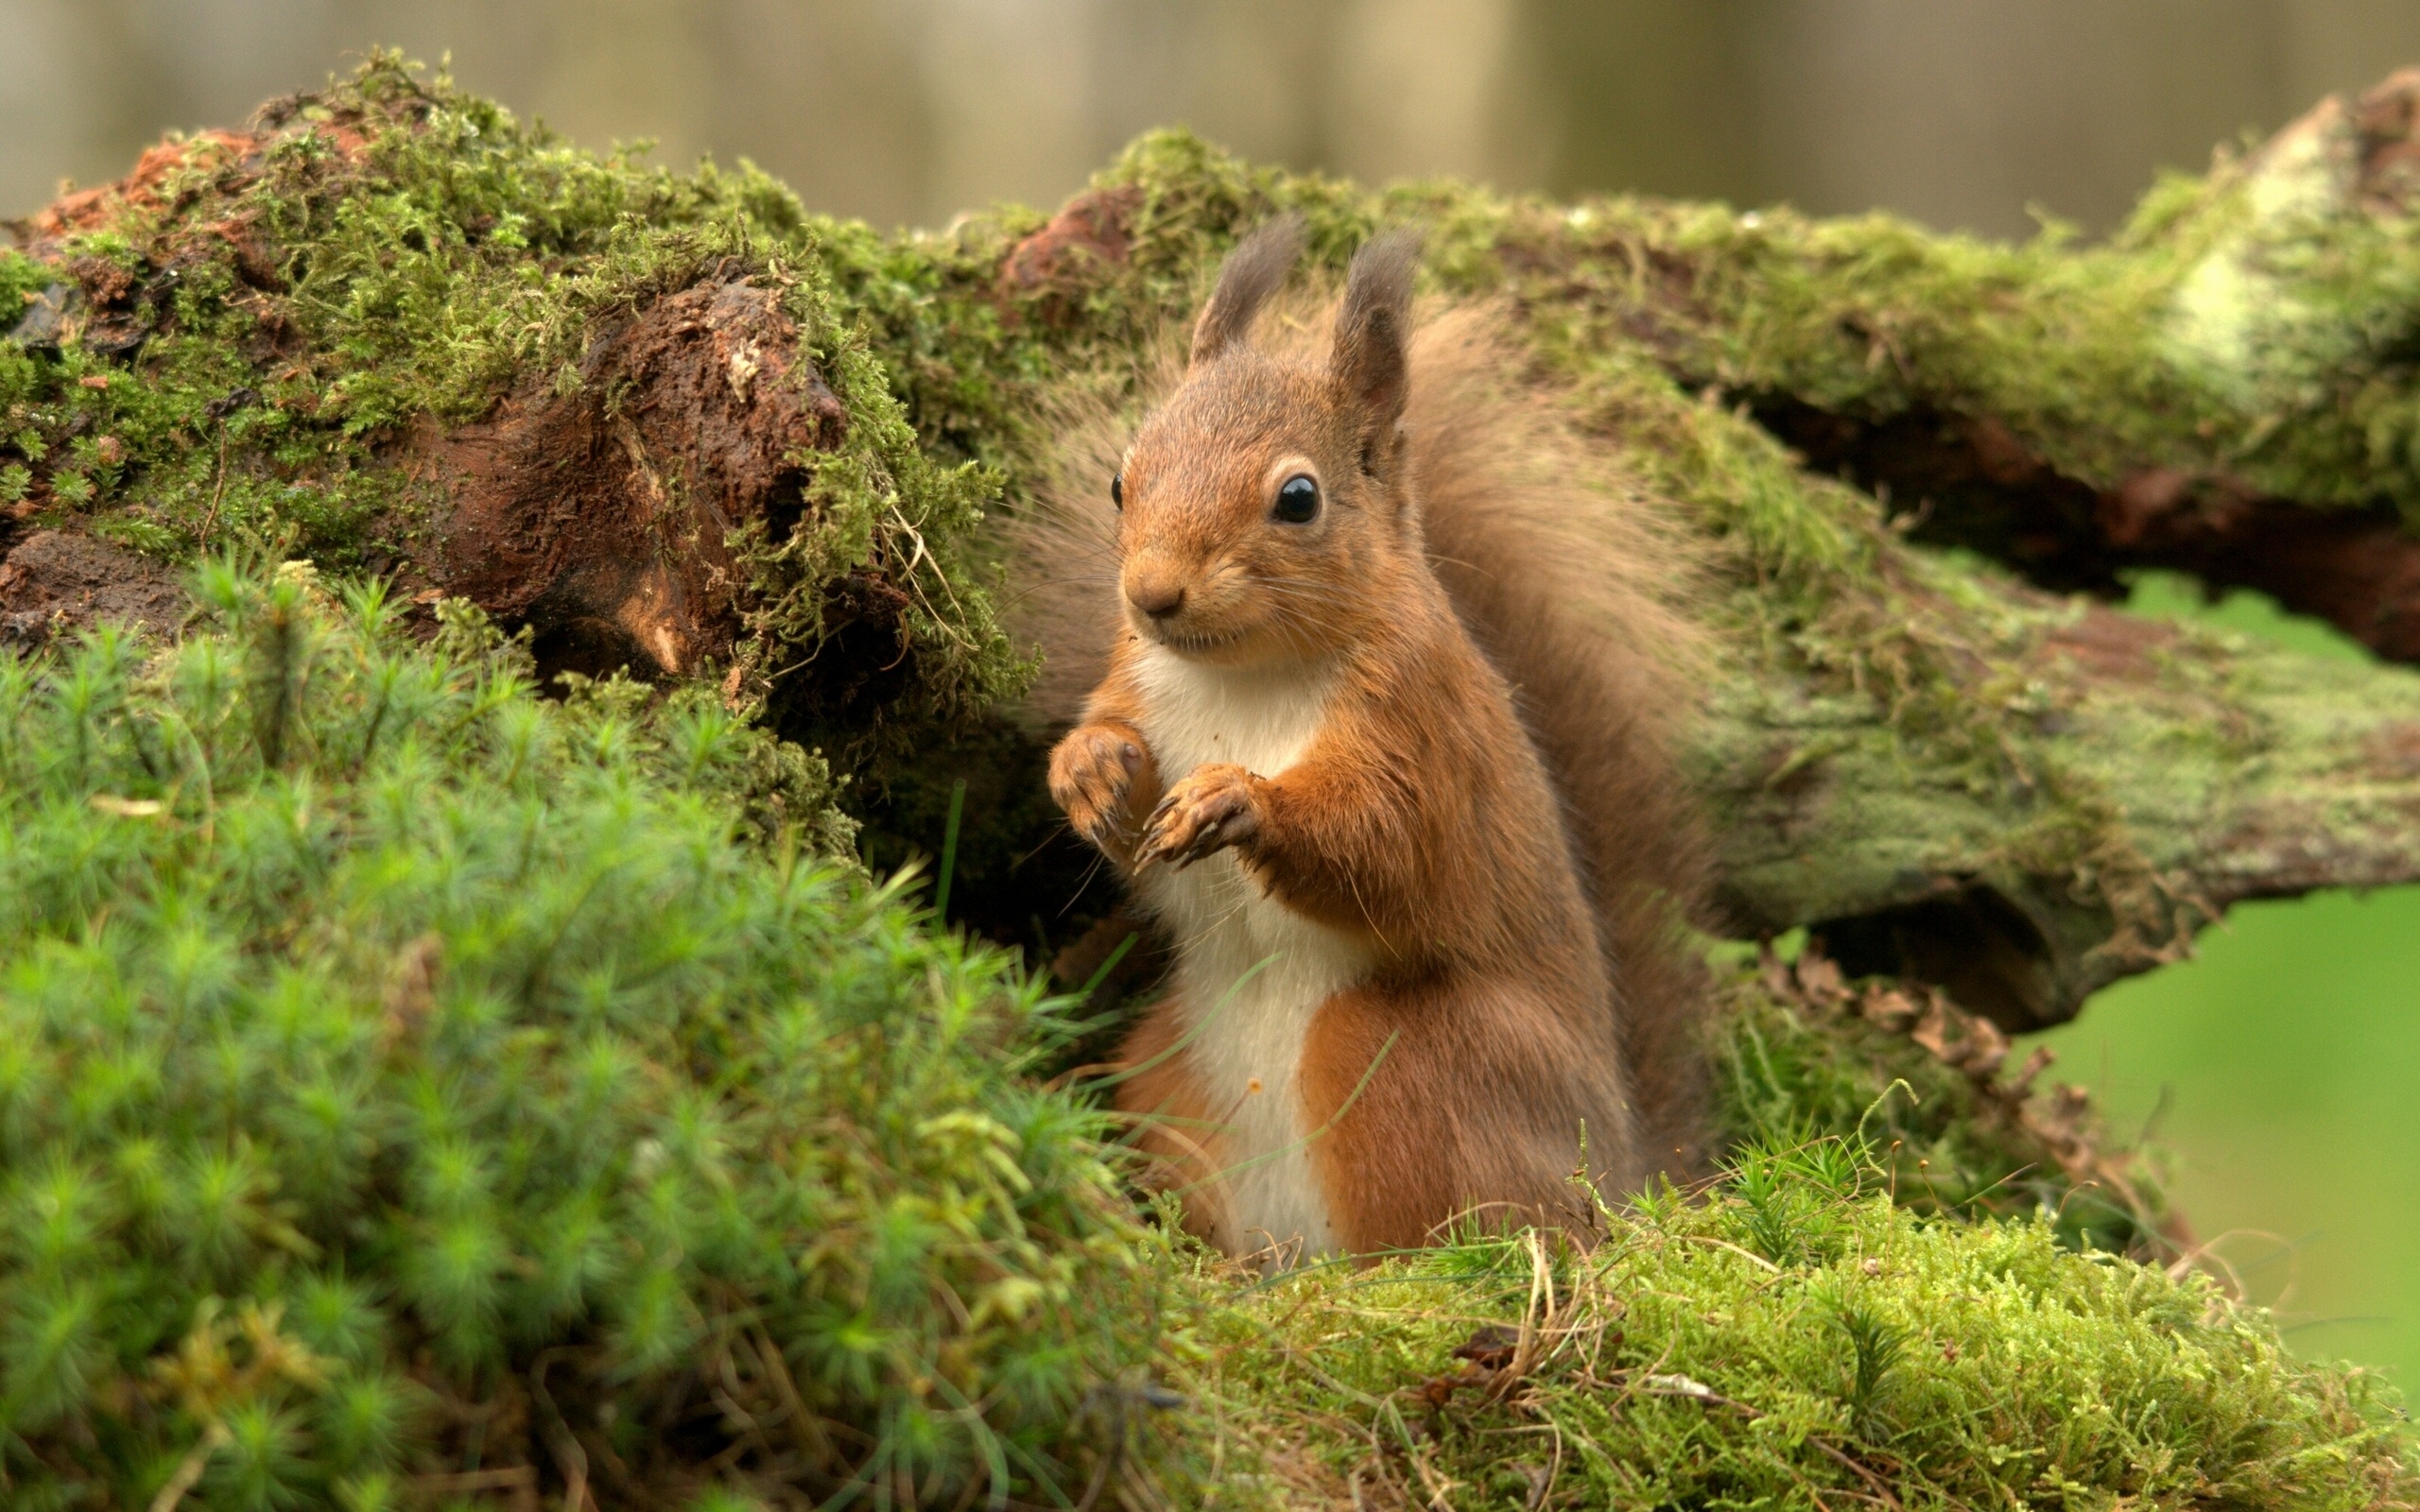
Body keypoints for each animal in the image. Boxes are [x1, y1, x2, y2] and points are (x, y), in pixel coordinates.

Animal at [1016, 219, 1710, 1263]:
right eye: (1118, 480)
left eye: (1298, 498)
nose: (1152, 594)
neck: (1245, 679)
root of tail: (1618, 1168)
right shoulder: (1136, 680)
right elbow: (1118, 769)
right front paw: (1090, 769)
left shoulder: (1420, 729)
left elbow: (1389, 848)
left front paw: (1240, 799)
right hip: (1166, 1073)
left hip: (1406, 1062)